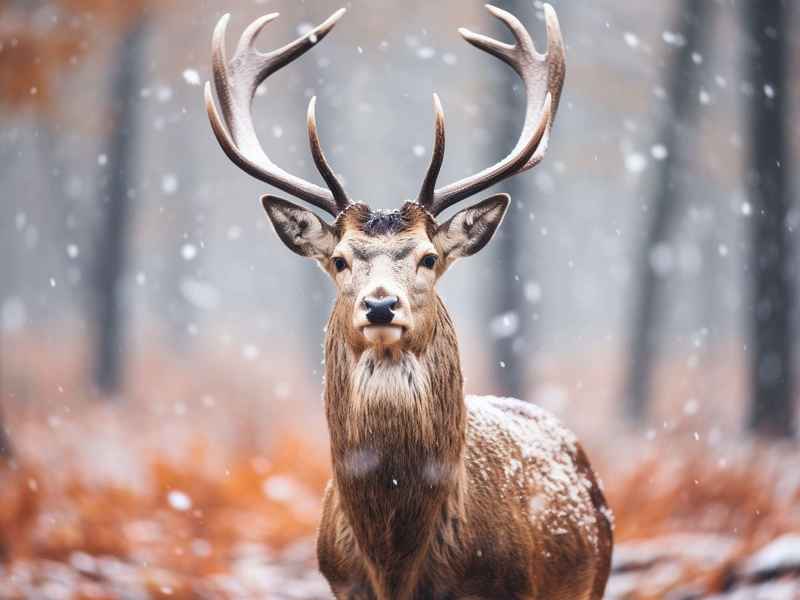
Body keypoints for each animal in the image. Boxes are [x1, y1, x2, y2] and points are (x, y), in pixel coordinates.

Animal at [205, 4, 612, 599]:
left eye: (428, 257)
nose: (380, 306)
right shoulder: (341, 582)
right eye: (340, 259)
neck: (397, 565)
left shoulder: (510, 585)